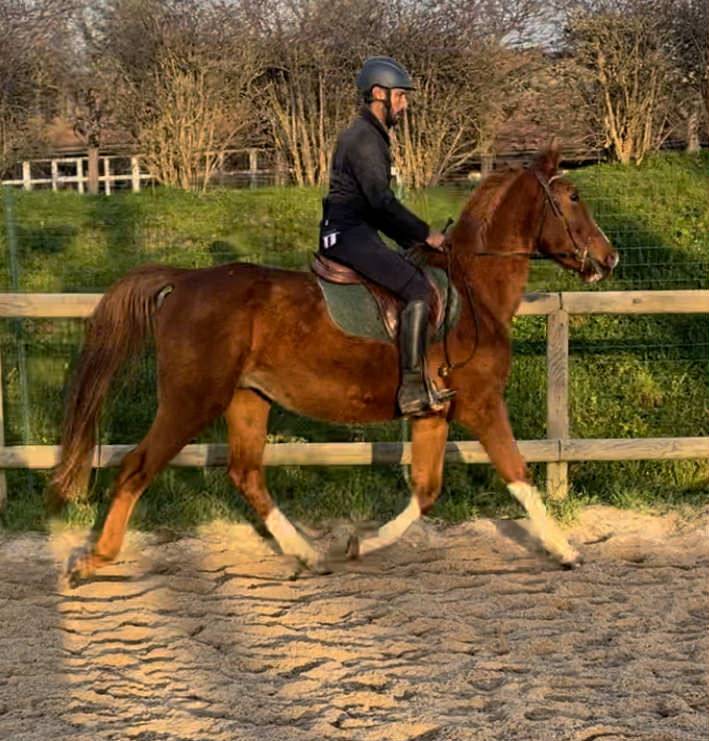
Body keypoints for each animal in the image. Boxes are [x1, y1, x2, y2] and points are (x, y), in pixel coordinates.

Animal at [52, 145, 618, 585]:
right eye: (573, 197)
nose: (609, 258)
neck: (473, 291)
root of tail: (185, 281)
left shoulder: (434, 413)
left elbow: (426, 491)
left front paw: (359, 544)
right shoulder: (482, 405)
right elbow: (518, 475)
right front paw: (565, 550)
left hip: (248, 399)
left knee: (246, 474)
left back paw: (307, 554)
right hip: (191, 400)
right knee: (137, 467)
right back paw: (93, 560)